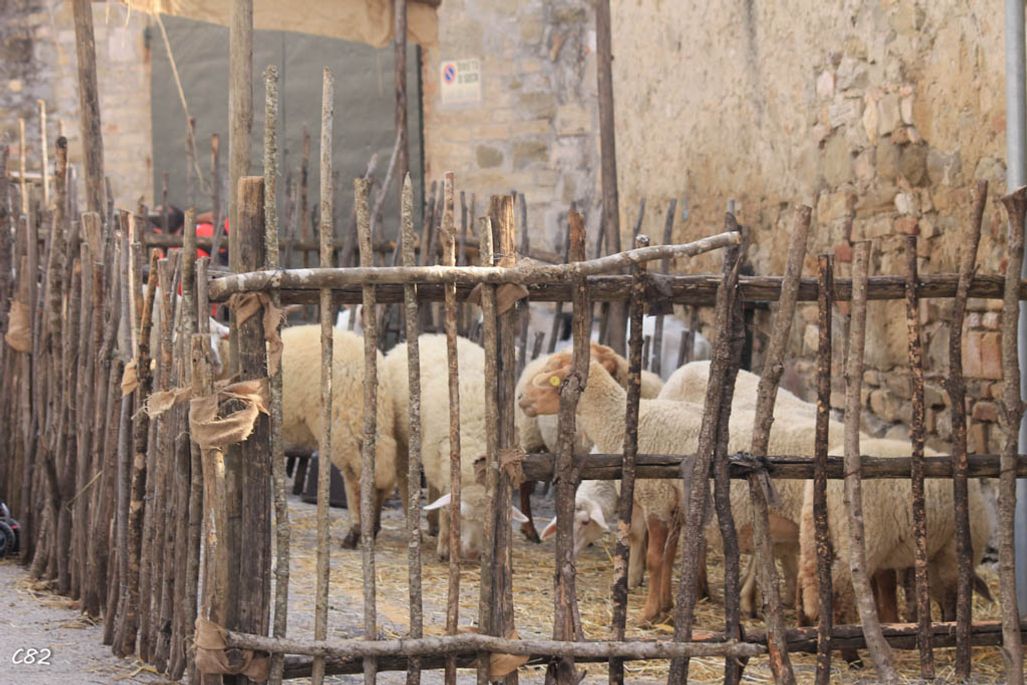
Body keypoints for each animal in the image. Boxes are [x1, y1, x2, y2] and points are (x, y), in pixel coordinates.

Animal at [280, 325, 399, 549]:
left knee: (356, 479)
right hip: (376, 425)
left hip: (343, 424)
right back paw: (373, 528)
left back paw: (355, 533)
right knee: (382, 475)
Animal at [381, 334, 527, 560]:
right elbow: (445, 509)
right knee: (406, 480)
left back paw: (431, 524)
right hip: (405, 438)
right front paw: (444, 548)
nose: (473, 553)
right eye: (462, 516)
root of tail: (429, 336)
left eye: (487, 520)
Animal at [518, 346, 820, 625]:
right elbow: (668, 557)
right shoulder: (675, 508)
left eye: (554, 378)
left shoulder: (657, 499)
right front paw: (666, 606)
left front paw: (648, 613)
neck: (627, 423)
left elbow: (655, 559)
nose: (520, 398)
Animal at [797, 437, 995, 627]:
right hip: (861, 542)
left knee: (806, 576)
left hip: (817, 535)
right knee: (839, 588)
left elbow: (901, 587)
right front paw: (951, 620)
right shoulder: (951, 552)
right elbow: (951, 593)